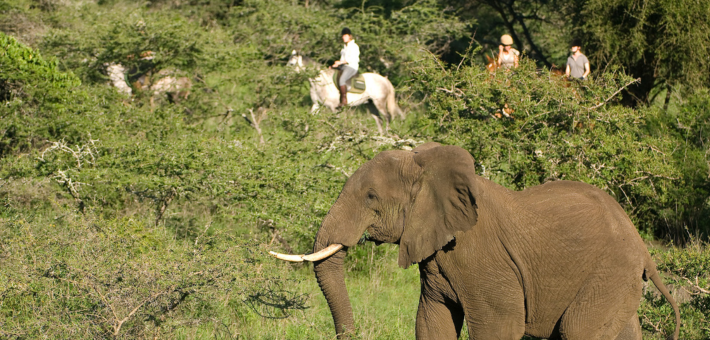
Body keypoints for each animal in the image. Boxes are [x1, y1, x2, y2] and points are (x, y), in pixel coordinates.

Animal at [270, 142, 680, 338]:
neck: (427, 167)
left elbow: (499, 328)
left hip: (608, 274)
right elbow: (431, 322)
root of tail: (643, 247)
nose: (350, 335)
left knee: (577, 331)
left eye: (370, 197)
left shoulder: (484, 259)